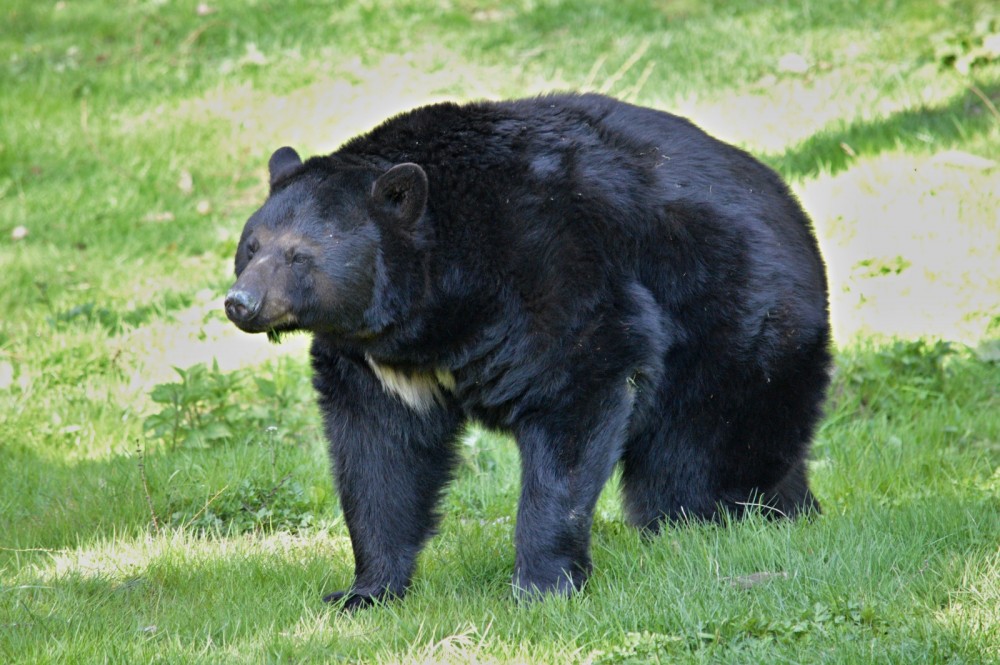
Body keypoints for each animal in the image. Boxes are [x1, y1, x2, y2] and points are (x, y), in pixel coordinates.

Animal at [224, 93, 831, 610]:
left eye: (298, 255)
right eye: (250, 247)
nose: (240, 302)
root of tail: (793, 208)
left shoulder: (548, 270)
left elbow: (578, 392)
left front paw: (542, 585)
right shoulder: (376, 363)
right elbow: (379, 453)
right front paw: (365, 590)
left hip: (733, 324)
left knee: (696, 461)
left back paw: (710, 526)